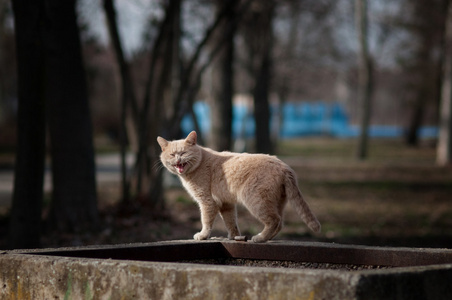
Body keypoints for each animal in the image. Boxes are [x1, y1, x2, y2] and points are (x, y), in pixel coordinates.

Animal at [157, 132, 320, 243]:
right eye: (172, 155)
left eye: (183, 153)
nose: (178, 158)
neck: (200, 163)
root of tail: (285, 167)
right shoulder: (226, 204)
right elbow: (231, 222)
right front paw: (234, 237)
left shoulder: (207, 202)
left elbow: (206, 221)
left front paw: (203, 236)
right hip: (277, 202)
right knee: (280, 223)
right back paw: (266, 239)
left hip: (256, 201)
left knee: (274, 220)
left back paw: (259, 238)